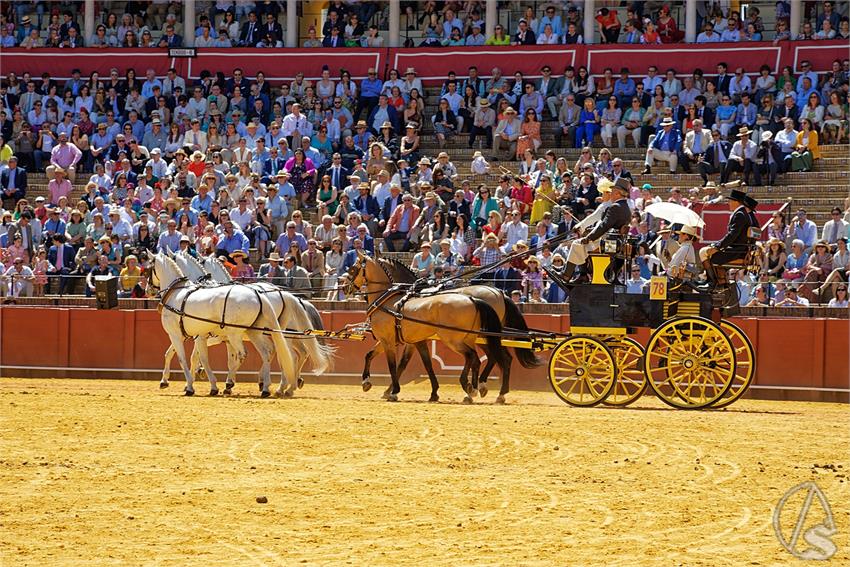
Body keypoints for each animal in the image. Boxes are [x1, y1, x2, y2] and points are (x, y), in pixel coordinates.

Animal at [162, 253, 332, 394]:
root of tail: (291, 297)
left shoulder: (214, 337)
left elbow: (194, 356)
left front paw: (196, 380)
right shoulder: (224, 339)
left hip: (284, 336)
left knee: (288, 355)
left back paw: (282, 386)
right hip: (287, 336)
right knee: (296, 353)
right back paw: (290, 383)